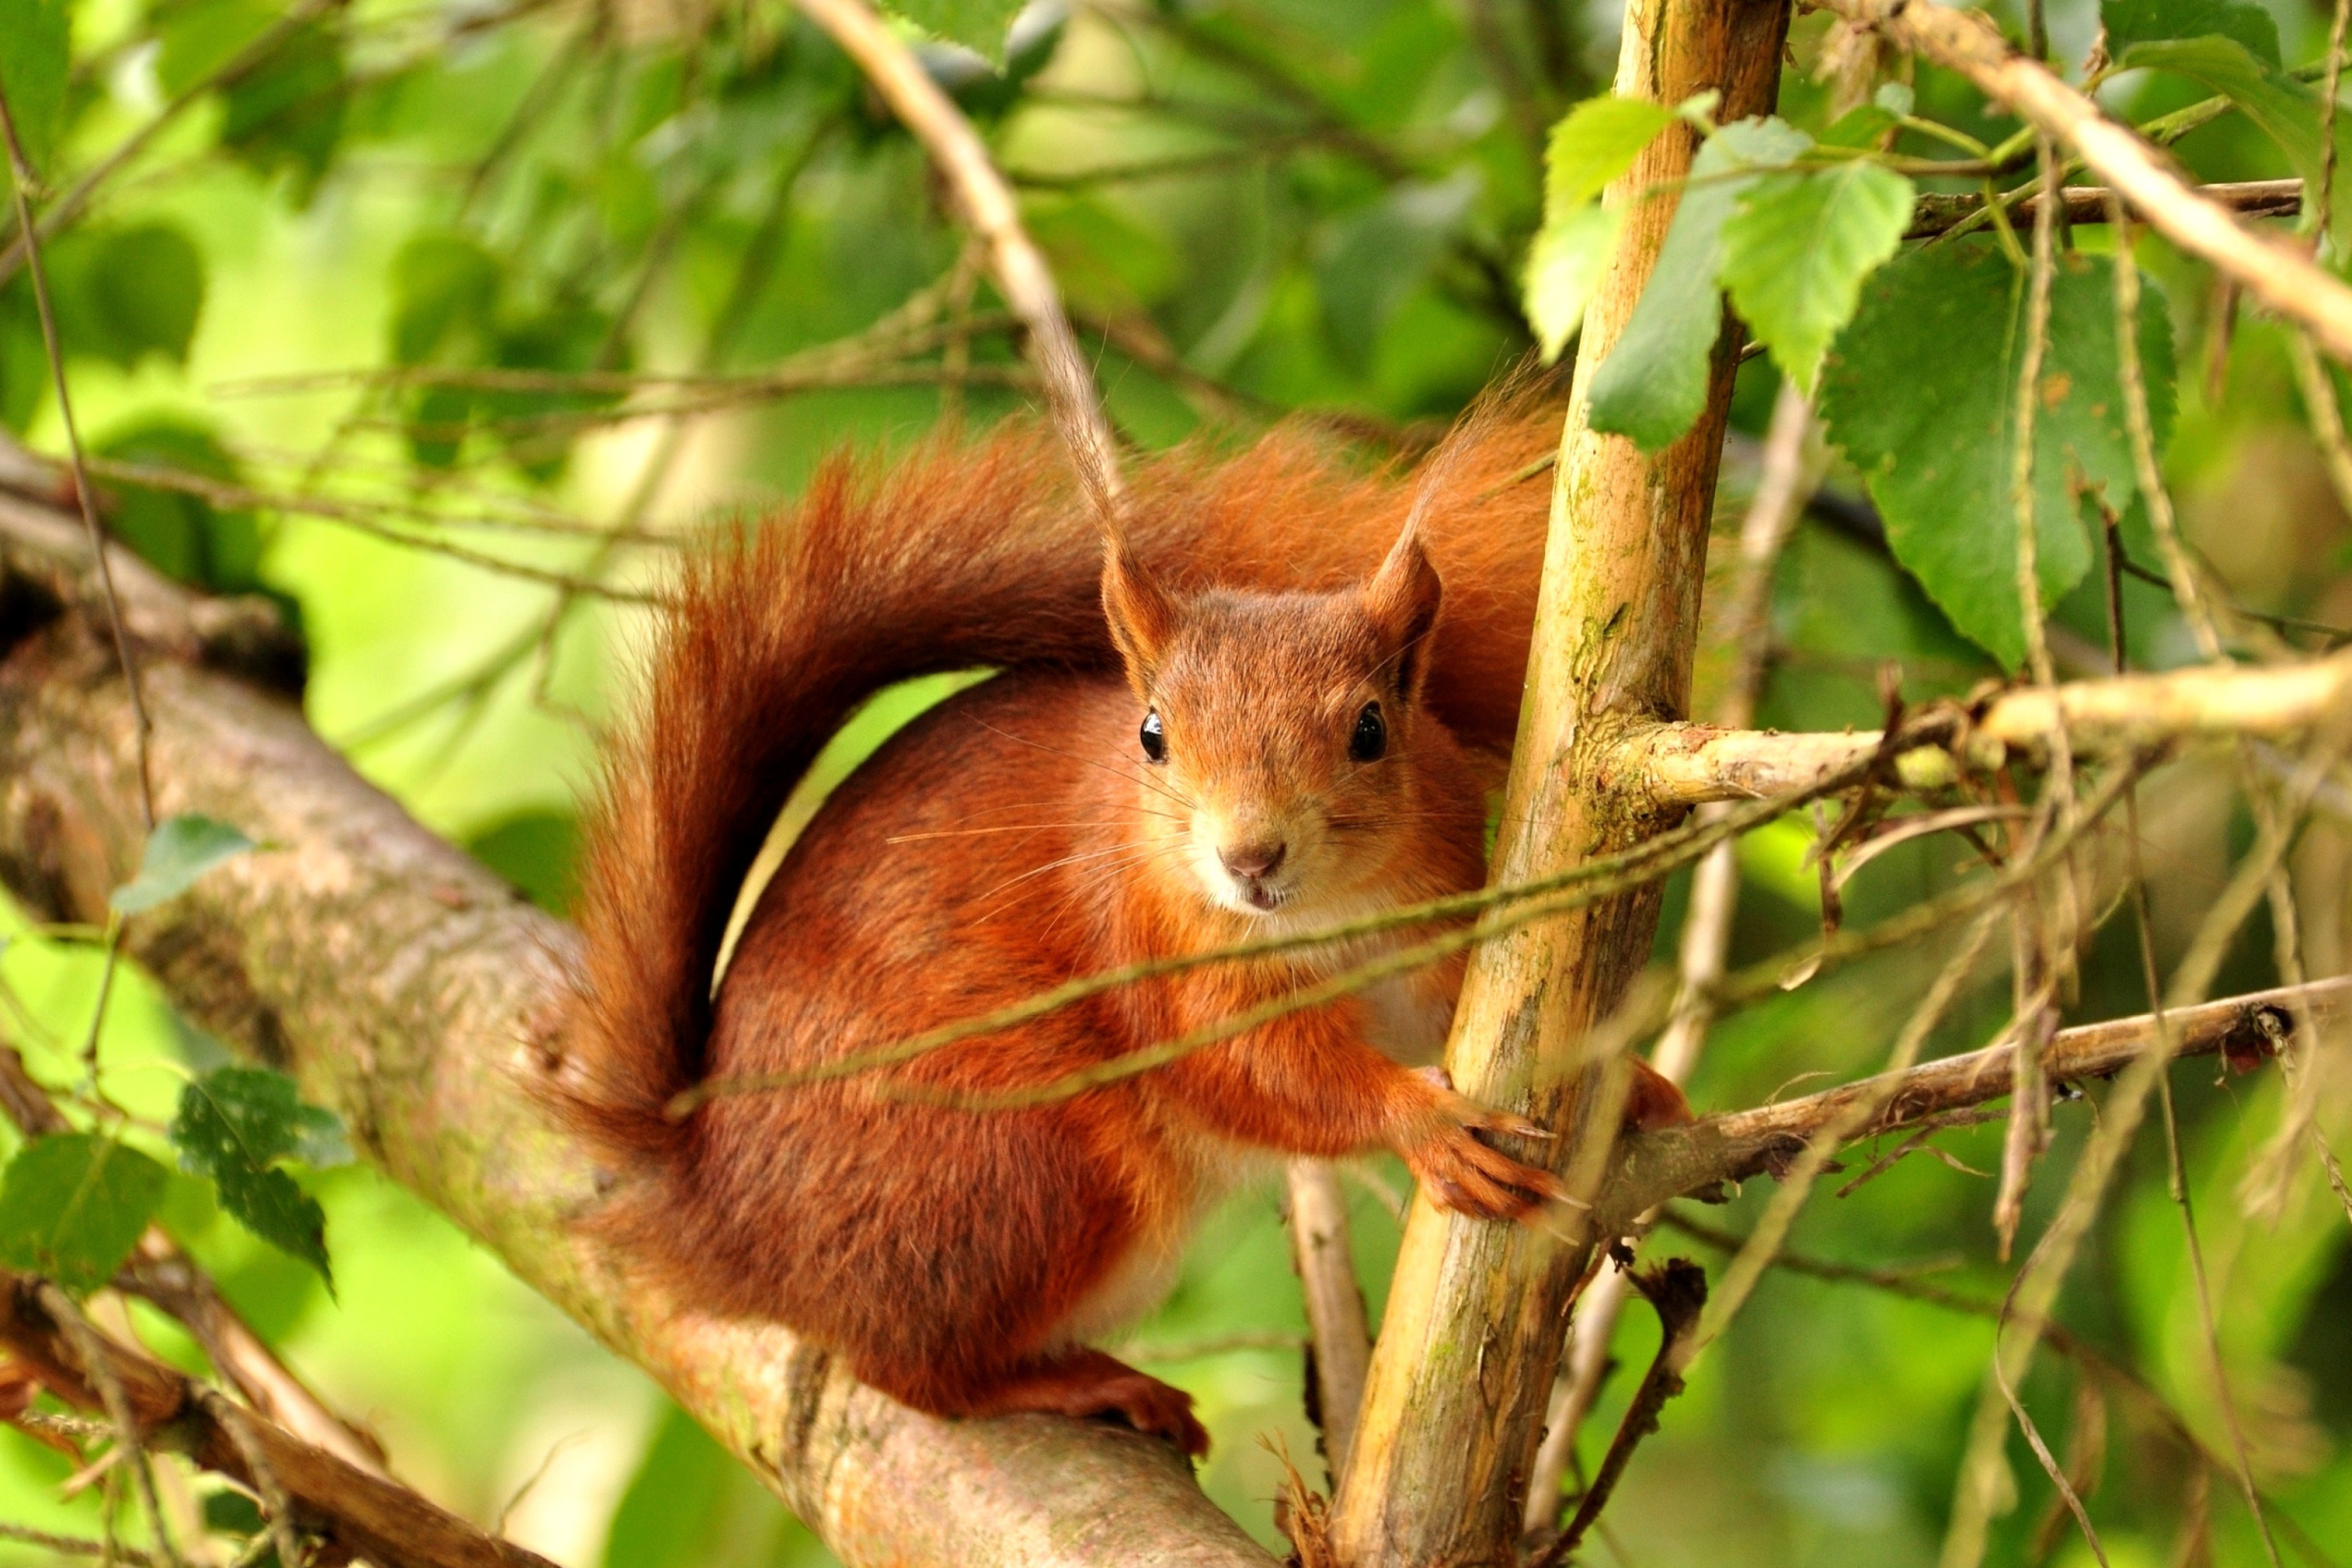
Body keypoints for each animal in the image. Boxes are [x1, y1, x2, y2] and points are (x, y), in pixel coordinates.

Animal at [567, 408, 1693, 1457]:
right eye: (1152, 735)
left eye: (1372, 730)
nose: (1250, 858)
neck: (1324, 914)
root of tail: (723, 1222)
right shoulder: (1152, 952)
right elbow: (1255, 1070)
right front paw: (1425, 1126)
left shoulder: (1432, 915)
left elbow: (1458, 1004)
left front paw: (1627, 1078)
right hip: (1028, 1165)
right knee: (910, 1372)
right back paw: (1076, 1383)